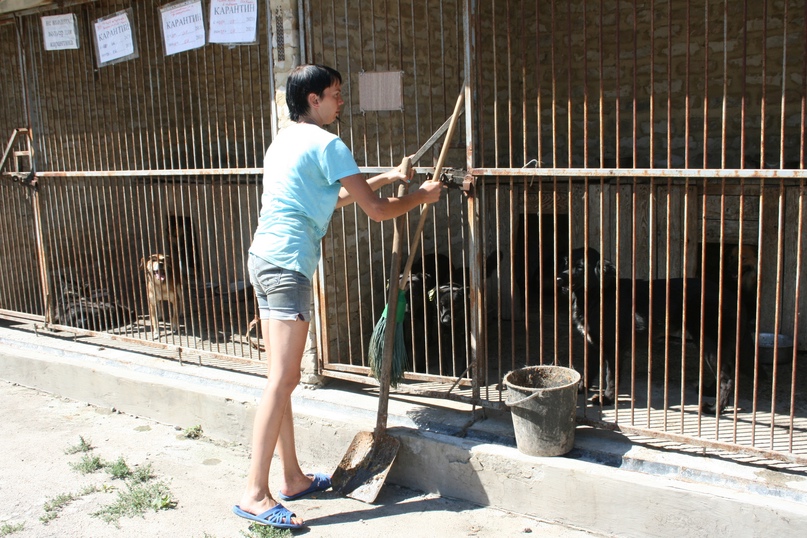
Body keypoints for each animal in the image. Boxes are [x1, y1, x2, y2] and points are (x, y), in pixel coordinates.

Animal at [556, 245, 756, 412]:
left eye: (580, 267)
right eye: (566, 263)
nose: (558, 278)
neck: (596, 296)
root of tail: (732, 295)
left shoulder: (613, 347)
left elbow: (610, 377)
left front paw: (606, 399)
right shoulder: (591, 344)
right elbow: (588, 371)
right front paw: (580, 389)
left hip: (709, 343)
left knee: (727, 379)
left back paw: (715, 409)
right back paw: (709, 392)